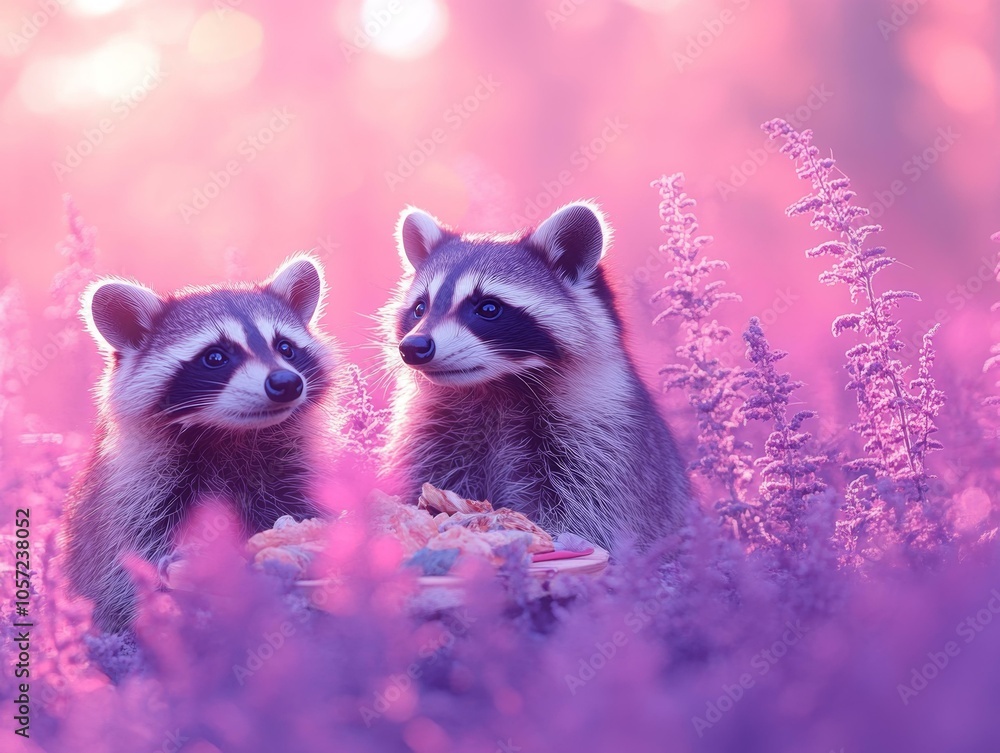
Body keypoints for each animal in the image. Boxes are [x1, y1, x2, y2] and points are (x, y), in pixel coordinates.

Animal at [61, 255, 335, 633]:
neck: (231, 434)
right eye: (216, 357)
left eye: (285, 348)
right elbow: (127, 564)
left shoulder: (291, 471)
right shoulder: (134, 493)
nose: (286, 383)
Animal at [381, 202, 690, 551]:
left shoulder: (602, 438)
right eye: (420, 308)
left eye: (488, 308)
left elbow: (591, 514)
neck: (494, 388)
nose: (414, 347)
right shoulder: (431, 431)